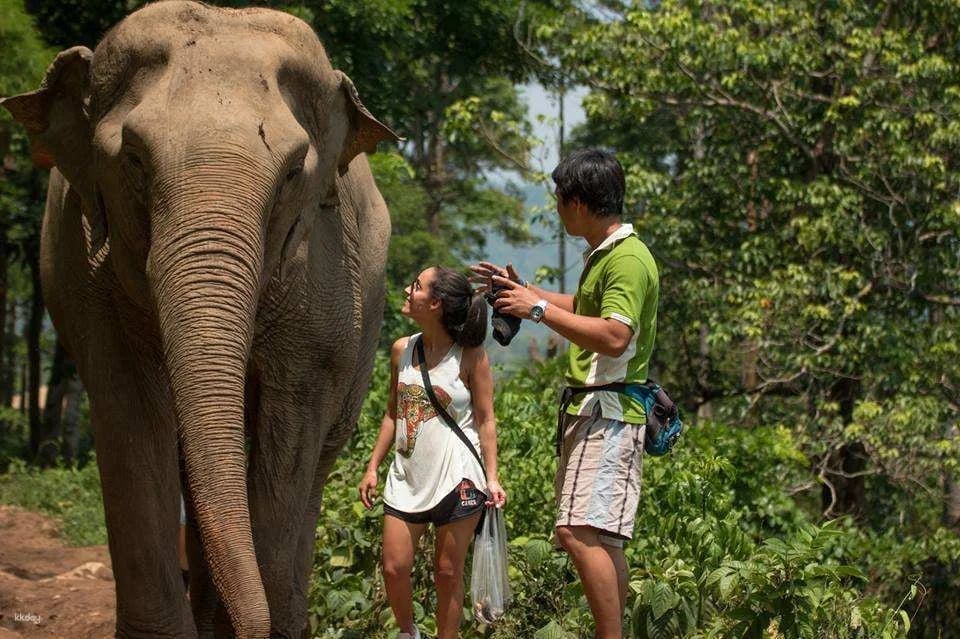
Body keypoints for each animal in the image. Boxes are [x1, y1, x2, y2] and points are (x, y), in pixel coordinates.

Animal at [1, 2, 398, 637]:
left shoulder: (324, 271)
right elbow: (130, 411)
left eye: (293, 172)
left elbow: (292, 422)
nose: (255, 627)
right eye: (134, 159)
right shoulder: (83, 275)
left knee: (316, 459)